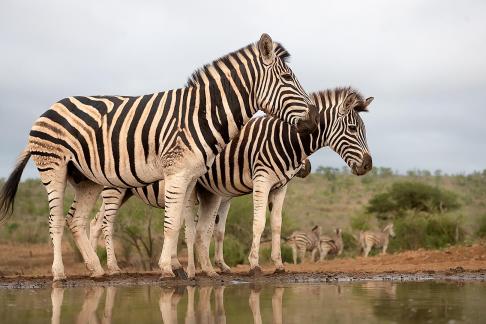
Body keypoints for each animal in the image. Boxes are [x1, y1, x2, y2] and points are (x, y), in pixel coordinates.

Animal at [0, 33, 318, 280]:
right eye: (287, 78)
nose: (314, 120)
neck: (201, 114)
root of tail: (50, 107)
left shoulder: (191, 177)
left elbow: (183, 225)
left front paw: (187, 270)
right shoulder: (177, 173)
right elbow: (173, 224)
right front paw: (168, 269)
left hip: (87, 178)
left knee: (76, 221)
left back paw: (98, 271)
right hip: (55, 167)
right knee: (56, 220)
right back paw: (60, 273)